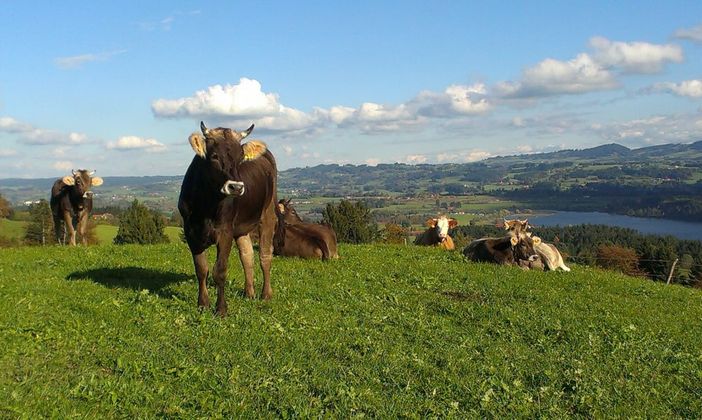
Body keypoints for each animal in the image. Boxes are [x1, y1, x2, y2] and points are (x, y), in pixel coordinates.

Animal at [179, 121, 278, 316]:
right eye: (215, 156)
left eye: (241, 158)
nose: (236, 187)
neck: (205, 205)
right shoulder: (190, 231)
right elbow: (201, 269)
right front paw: (202, 304)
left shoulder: (225, 231)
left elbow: (220, 270)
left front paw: (221, 309)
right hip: (241, 226)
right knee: (247, 255)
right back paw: (249, 293)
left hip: (268, 213)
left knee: (264, 255)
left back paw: (266, 294)